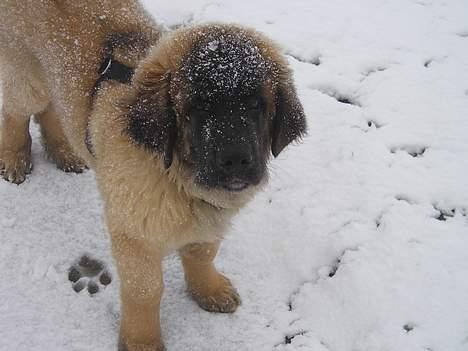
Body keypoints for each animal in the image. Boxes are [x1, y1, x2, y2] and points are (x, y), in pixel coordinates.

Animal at [0, 1, 308, 350]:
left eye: (256, 105)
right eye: (196, 109)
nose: (236, 160)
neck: (176, 176)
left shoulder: (209, 220)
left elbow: (203, 253)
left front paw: (210, 290)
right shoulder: (134, 233)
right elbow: (146, 289)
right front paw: (142, 341)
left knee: (52, 110)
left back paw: (64, 151)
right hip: (27, 75)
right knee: (17, 112)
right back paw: (14, 158)